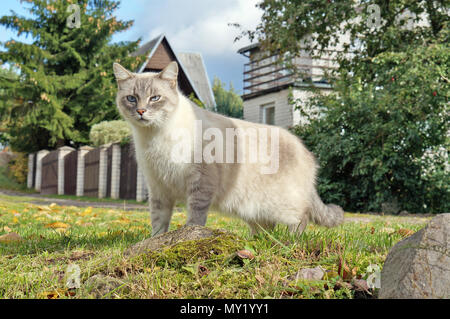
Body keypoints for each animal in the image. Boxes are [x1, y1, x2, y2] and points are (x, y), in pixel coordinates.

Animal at [113, 62, 344, 238]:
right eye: (132, 98)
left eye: (155, 98)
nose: (141, 111)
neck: (154, 137)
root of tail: (306, 151)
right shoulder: (159, 188)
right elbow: (158, 222)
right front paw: (155, 242)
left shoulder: (201, 182)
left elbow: (195, 216)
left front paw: (189, 235)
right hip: (252, 209)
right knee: (266, 228)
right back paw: (257, 242)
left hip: (281, 204)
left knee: (301, 217)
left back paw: (290, 241)